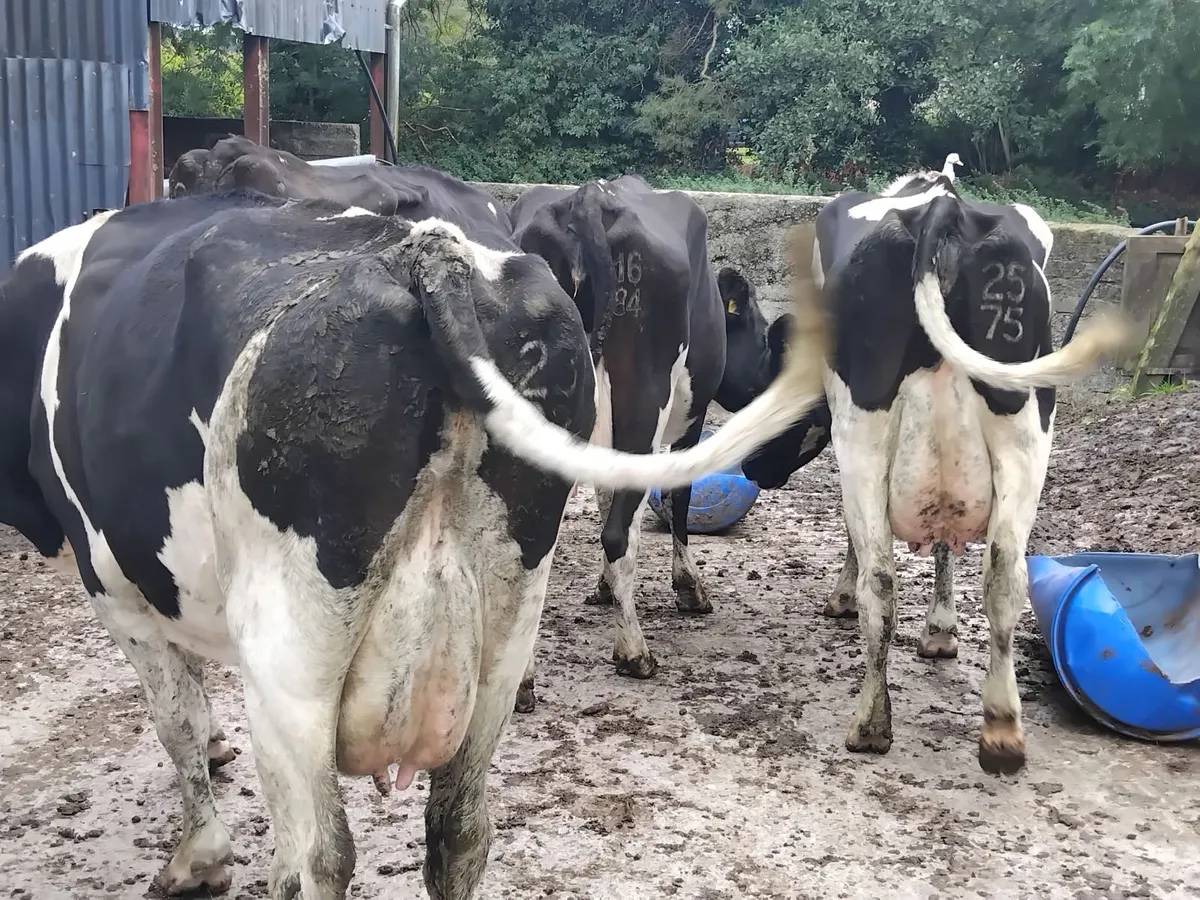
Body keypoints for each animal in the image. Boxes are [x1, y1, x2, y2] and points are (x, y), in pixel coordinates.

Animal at [507, 175, 772, 706]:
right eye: (761, 334)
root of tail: (587, 199)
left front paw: (603, 588)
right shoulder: (689, 421)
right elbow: (676, 498)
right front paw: (689, 587)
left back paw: (522, 682)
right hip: (643, 400)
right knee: (616, 532)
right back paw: (634, 653)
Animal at [714, 171, 1135, 774]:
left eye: (770, 376)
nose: (751, 466)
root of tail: (943, 206)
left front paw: (843, 598)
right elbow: (945, 540)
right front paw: (940, 631)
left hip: (866, 426)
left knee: (882, 579)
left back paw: (871, 723)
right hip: (1027, 426)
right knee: (1005, 572)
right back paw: (1001, 731)